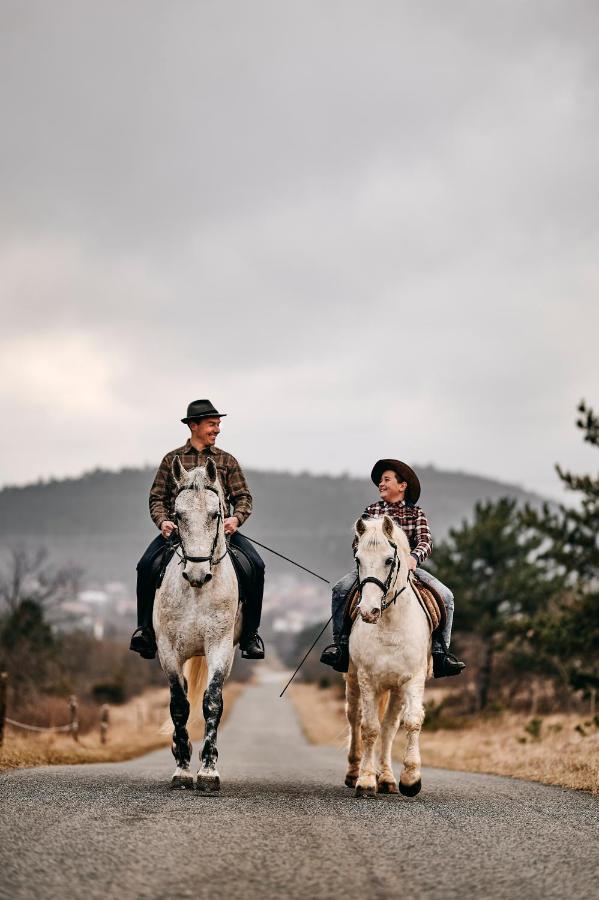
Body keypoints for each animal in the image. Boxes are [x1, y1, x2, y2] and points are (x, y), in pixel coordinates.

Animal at [155, 460, 244, 792]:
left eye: (216, 514)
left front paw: (208, 771)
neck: (196, 591)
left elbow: (212, 702)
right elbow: (179, 704)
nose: (197, 573)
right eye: (178, 515)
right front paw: (182, 768)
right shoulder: (168, 650)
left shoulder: (219, 647)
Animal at [346, 516, 432, 800]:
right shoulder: (367, 679)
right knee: (355, 718)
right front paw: (365, 781)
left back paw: (387, 778)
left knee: (390, 727)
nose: (368, 611)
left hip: (395, 689)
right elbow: (369, 728)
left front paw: (411, 779)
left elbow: (411, 722)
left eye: (388, 560)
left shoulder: (413, 679)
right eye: (358, 559)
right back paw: (354, 773)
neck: (390, 624)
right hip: (353, 680)